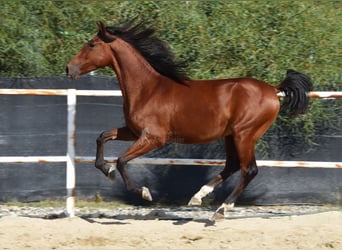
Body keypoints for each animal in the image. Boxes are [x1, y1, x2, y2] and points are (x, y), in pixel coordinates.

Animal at [66, 19, 312, 220]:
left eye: (91, 44)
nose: (69, 68)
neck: (148, 89)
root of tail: (272, 89)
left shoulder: (153, 138)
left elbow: (122, 160)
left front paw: (144, 193)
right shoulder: (133, 131)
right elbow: (102, 137)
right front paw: (106, 170)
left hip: (245, 135)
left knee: (249, 170)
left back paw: (220, 210)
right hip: (231, 136)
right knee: (232, 165)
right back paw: (198, 197)